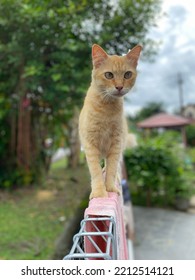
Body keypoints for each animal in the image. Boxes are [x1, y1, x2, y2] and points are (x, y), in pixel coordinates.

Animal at [79, 43, 142, 198]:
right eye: (109, 75)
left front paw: (111, 188)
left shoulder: (116, 144)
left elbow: (112, 168)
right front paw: (99, 192)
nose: (119, 87)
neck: (106, 108)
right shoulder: (90, 145)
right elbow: (95, 170)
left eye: (127, 74)